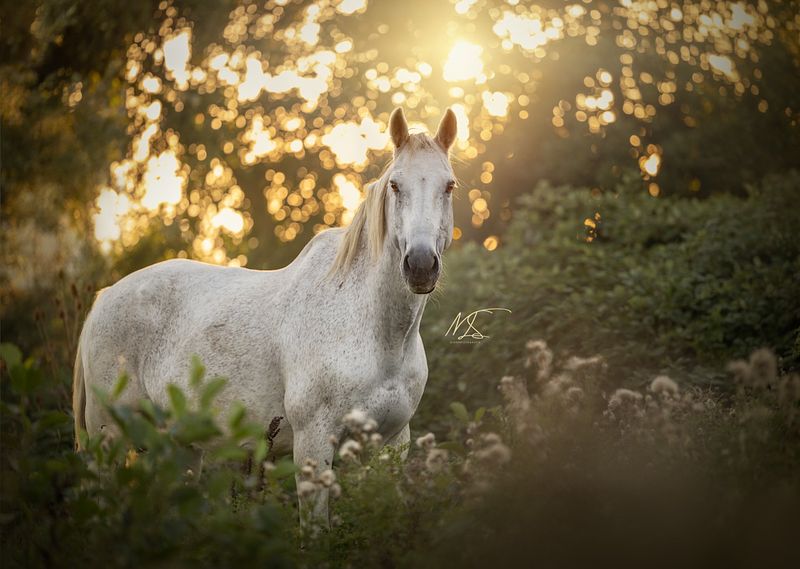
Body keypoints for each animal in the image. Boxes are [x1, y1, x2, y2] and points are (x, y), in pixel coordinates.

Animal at [72, 107, 460, 523]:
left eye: (449, 186)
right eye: (396, 186)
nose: (420, 266)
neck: (378, 336)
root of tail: (104, 298)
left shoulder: (393, 443)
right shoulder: (312, 444)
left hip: (179, 446)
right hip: (108, 438)